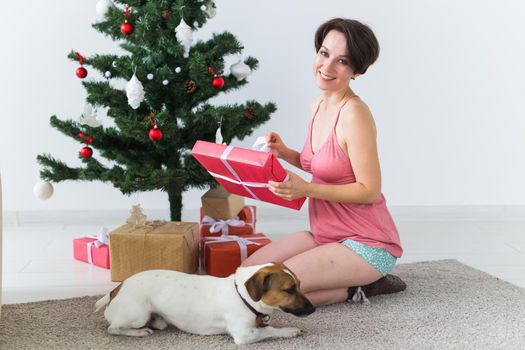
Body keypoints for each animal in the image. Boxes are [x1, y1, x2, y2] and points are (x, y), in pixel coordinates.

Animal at [93, 262, 314, 344]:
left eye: (300, 284)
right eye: (289, 289)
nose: (313, 309)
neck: (242, 296)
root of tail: (116, 290)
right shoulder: (244, 335)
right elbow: (271, 330)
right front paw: (290, 331)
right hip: (137, 316)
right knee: (113, 328)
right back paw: (139, 332)